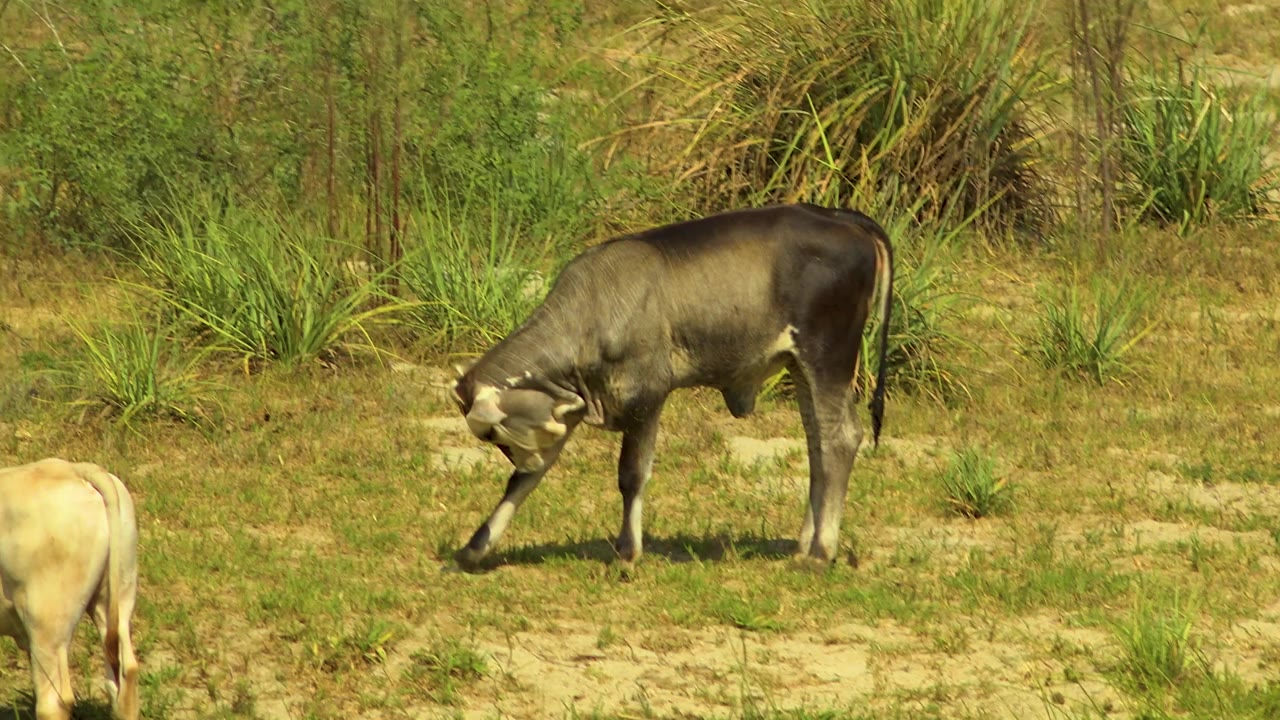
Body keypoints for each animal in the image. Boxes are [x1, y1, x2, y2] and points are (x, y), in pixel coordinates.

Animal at [450, 203, 894, 570]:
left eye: (492, 433)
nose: (522, 459)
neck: (591, 313)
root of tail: (836, 216)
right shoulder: (572, 407)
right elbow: (522, 484)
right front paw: (475, 547)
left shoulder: (647, 396)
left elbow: (631, 475)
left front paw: (627, 554)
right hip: (802, 367)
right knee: (818, 446)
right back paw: (805, 546)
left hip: (827, 356)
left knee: (840, 438)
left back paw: (820, 553)